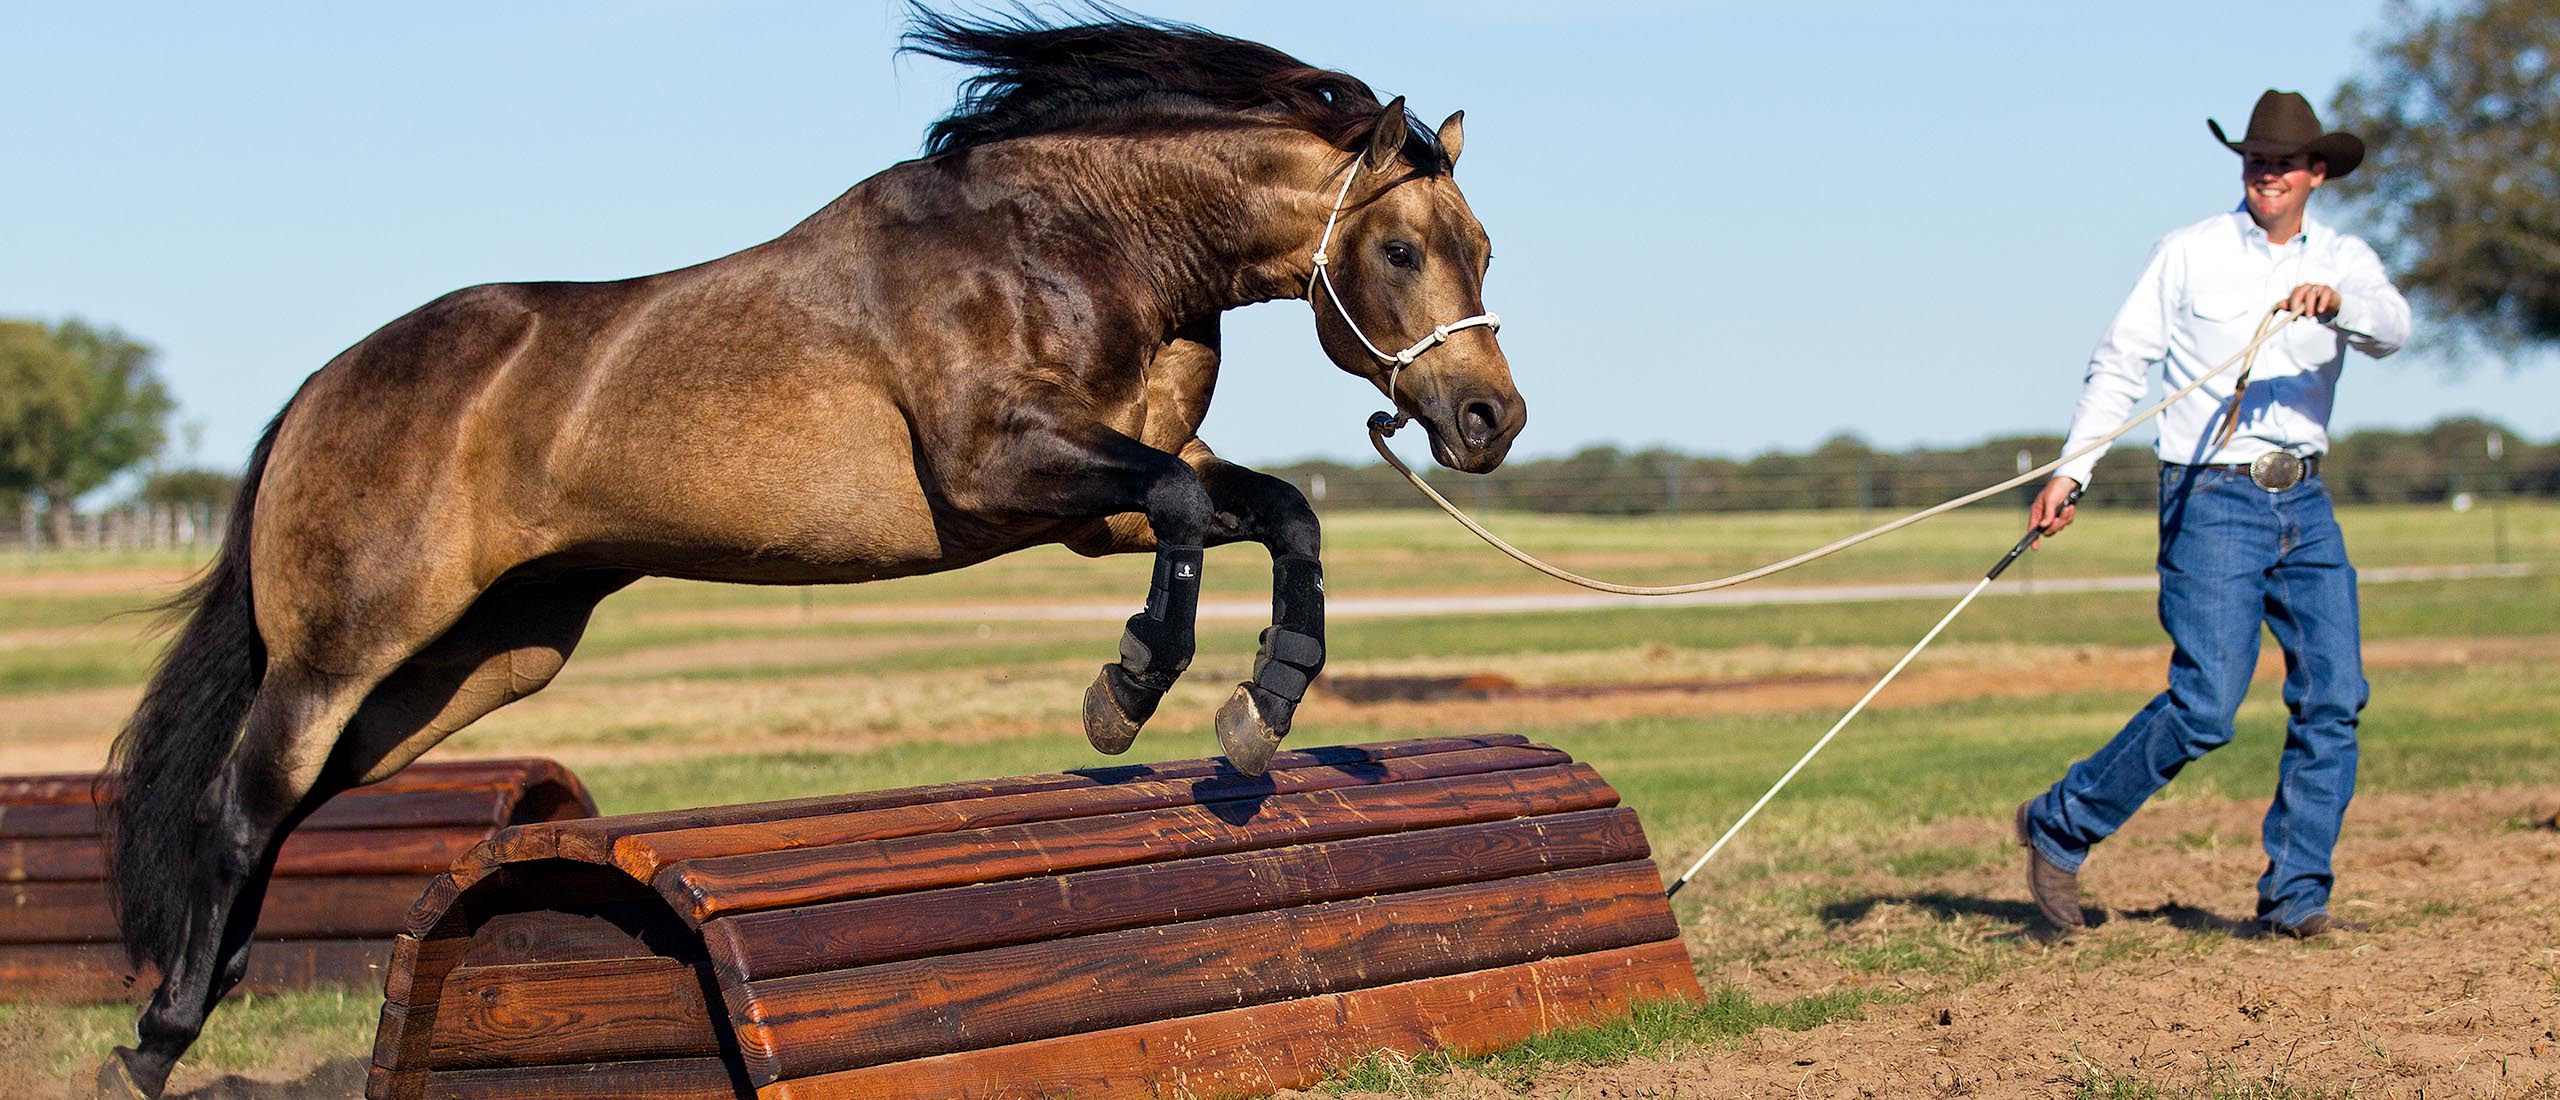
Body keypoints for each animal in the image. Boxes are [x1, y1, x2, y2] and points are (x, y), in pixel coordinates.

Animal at [94, 9, 1521, 1097]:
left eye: (1483, 249)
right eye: (1400, 248)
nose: (1488, 419)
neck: (1081, 242)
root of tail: (328, 381)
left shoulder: (1091, 500)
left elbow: (1280, 515)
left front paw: (1259, 708)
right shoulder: (1003, 467)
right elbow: (1185, 513)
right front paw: (1125, 692)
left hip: (487, 654)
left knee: (295, 793)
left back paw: (207, 986)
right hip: (351, 637)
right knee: (244, 797)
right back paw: (156, 1039)